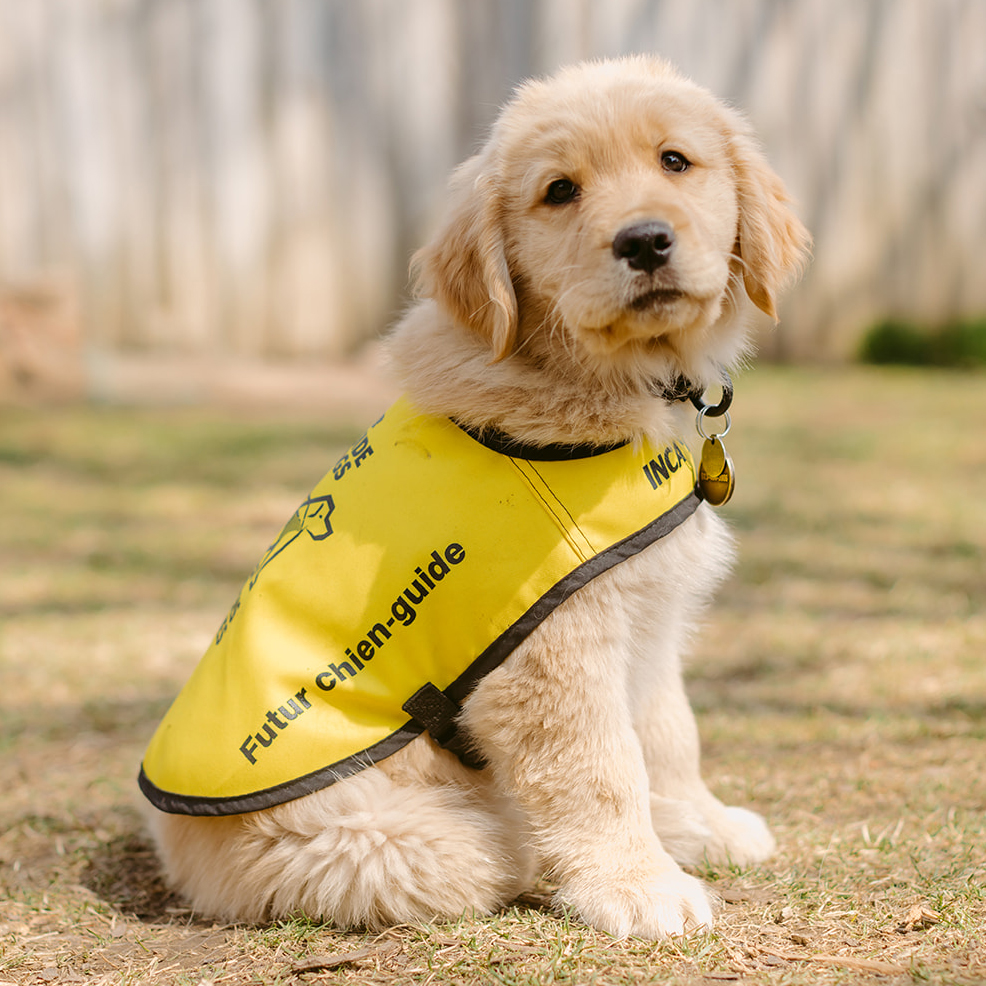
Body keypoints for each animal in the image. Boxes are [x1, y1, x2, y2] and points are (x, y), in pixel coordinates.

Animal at [140, 55, 808, 936]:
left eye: (676, 162)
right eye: (560, 191)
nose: (644, 241)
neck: (588, 376)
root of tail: (177, 851)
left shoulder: (649, 615)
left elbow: (668, 732)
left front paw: (701, 826)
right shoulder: (552, 651)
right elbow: (602, 767)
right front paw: (640, 886)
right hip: (396, 839)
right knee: (496, 847)